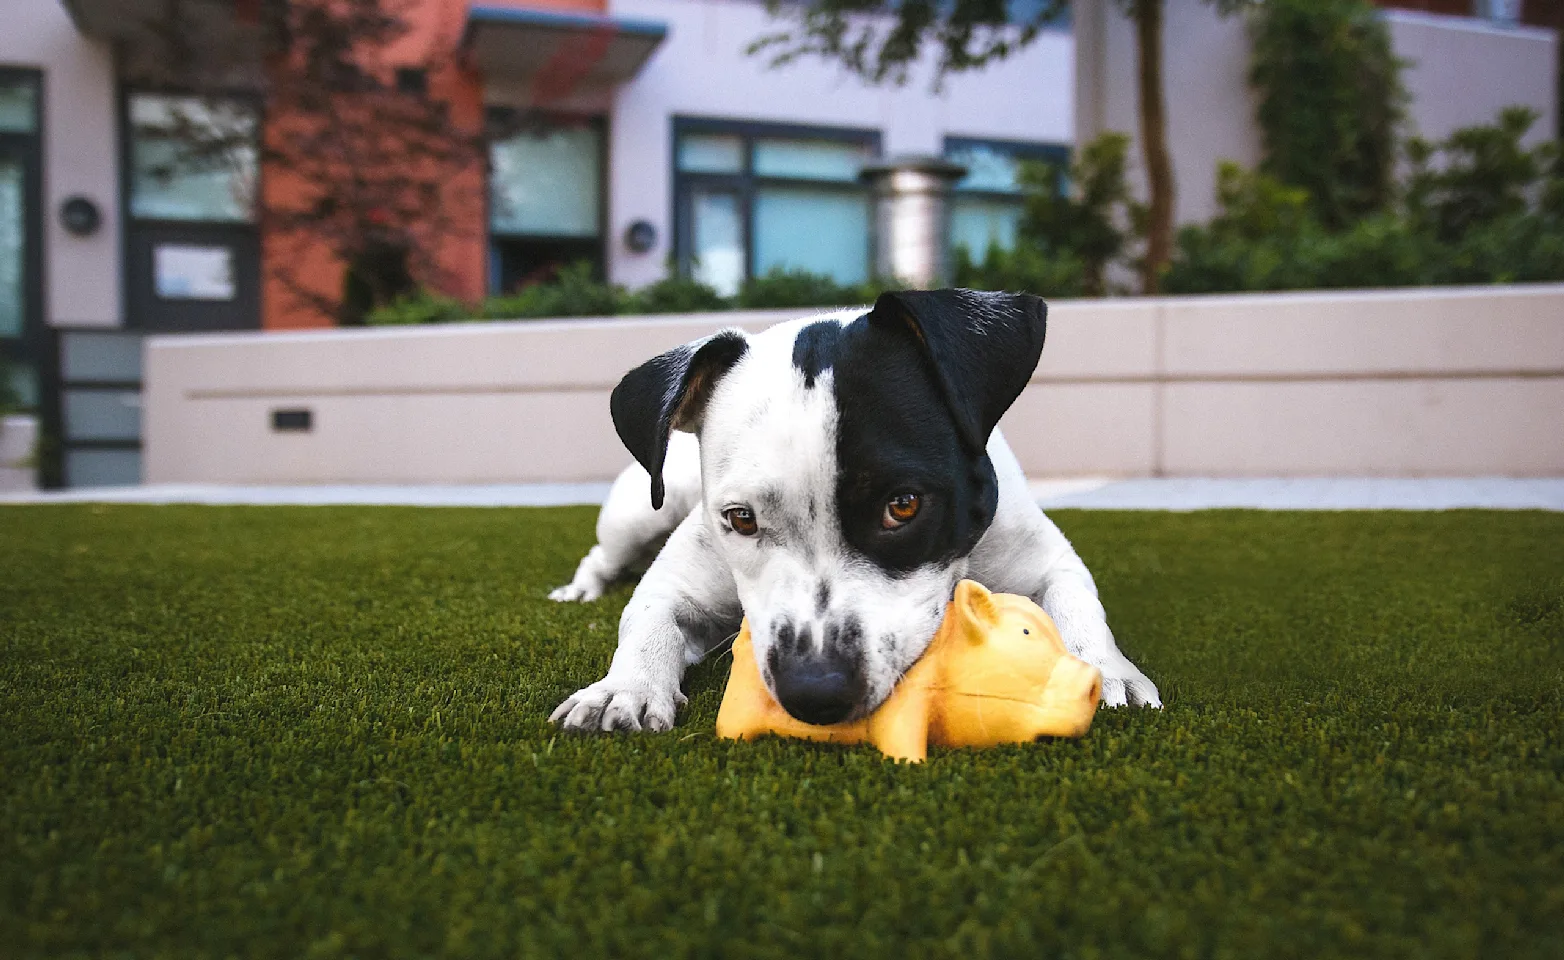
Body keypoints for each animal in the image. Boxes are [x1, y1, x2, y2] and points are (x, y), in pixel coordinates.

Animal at [550, 289, 1163, 734]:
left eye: (903, 505)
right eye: (741, 518)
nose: (814, 690)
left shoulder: (1046, 560)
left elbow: (1077, 604)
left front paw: (1105, 667)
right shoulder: (677, 582)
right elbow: (647, 620)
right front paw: (623, 688)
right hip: (637, 513)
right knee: (602, 554)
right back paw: (580, 590)